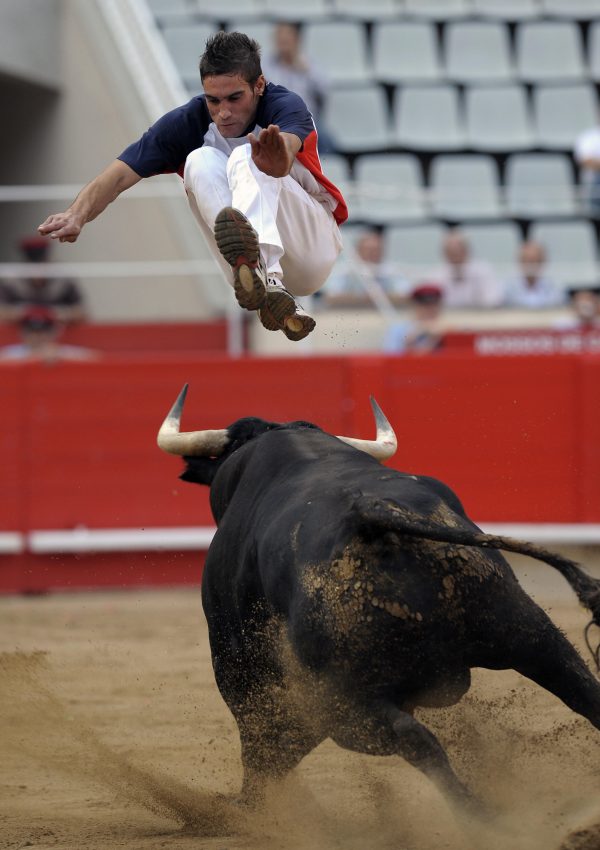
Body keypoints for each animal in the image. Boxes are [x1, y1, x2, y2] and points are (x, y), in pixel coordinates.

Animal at [157, 388, 596, 812]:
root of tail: (371, 513)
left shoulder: (236, 659)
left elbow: (260, 739)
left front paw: (252, 803)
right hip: (526, 629)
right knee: (582, 689)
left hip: (347, 702)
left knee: (413, 740)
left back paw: (480, 816)